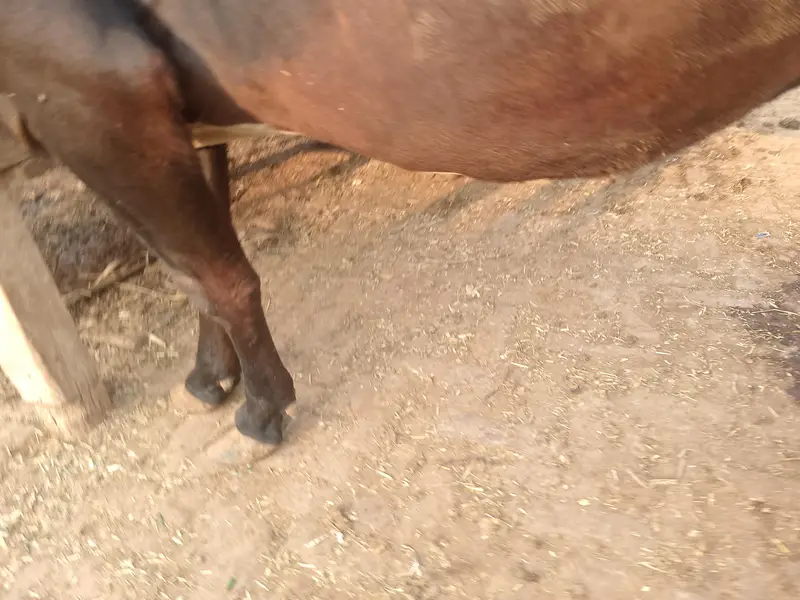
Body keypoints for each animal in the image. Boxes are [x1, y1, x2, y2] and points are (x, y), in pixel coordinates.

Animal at [1, 0, 798, 445]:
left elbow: (213, 275)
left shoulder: (88, 93)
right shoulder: (174, 110)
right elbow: (191, 271)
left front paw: (261, 410)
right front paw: (207, 378)